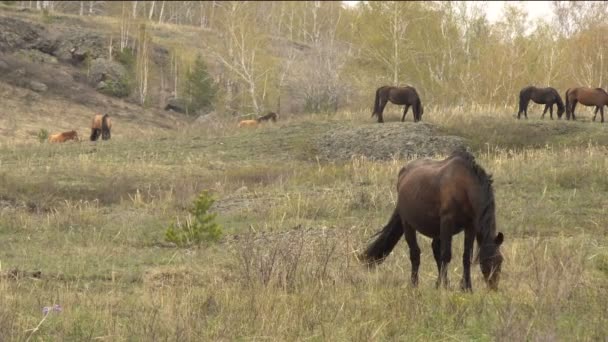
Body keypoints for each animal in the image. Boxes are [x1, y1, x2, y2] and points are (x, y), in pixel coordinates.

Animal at [360, 150, 504, 292]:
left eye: (500, 261)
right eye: (486, 261)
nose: (494, 287)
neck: (464, 187)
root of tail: (403, 174)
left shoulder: (470, 226)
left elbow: (466, 256)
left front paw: (466, 287)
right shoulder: (447, 222)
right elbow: (446, 255)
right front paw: (445, 287)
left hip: (436, 229)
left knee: (435, 251)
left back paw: (437, 283)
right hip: (408, 224)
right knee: (415, 254)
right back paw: (415, 285)